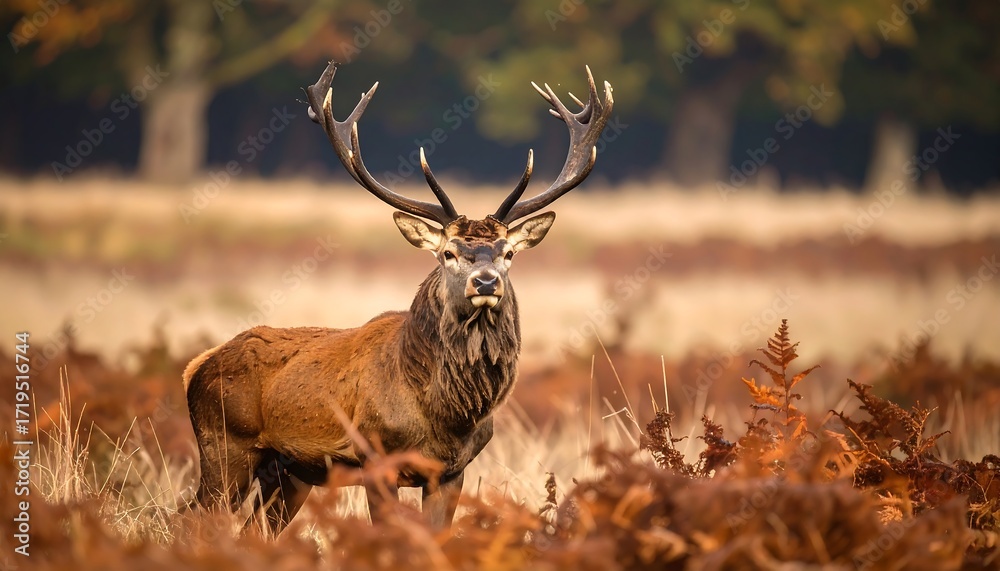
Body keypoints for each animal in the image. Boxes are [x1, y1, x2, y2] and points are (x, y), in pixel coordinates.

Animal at [182, 61, 613, 533]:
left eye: (509, 253)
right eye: (448, 253)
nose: (485, 282)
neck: (446, 418)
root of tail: (196, 366)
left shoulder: (452, 472)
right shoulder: (375, 458)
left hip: (289, 472)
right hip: (225, 446)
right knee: (192, 516)